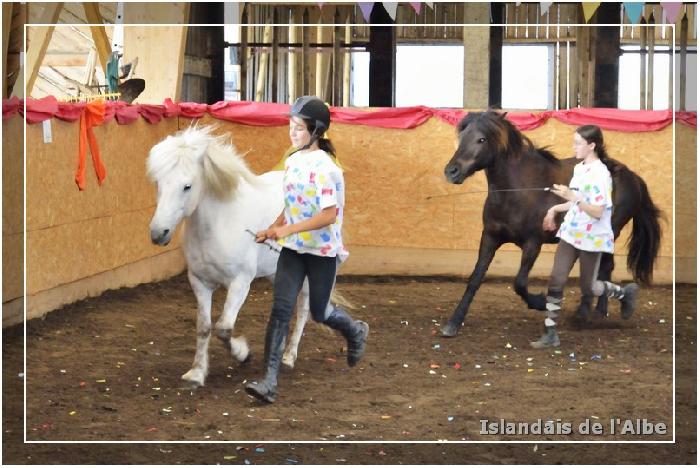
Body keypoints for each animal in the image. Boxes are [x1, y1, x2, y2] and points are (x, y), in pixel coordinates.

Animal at [146, 125, 310, 388]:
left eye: (187, 186)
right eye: (158, 183)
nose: (158, 233)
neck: (218, 226)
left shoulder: (240, 283)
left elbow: (223, 328)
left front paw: (243, 354)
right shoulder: (199, 282)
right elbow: (204, 327)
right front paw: (196, 373)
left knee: (303, 309)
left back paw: (289, 356)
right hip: (276, 271)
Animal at [442, 110, 660, 336]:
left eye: (481, 139)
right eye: (462, 137)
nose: (452, 171)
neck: (517, 190)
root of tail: (633, 177)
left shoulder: (532, 243)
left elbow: (519, 283)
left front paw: (540, 302)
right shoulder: (490, 238)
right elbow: (475, 278)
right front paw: (454, 322)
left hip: (609, 232)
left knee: (602, 268)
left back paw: (590, 313)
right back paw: (596, 311)